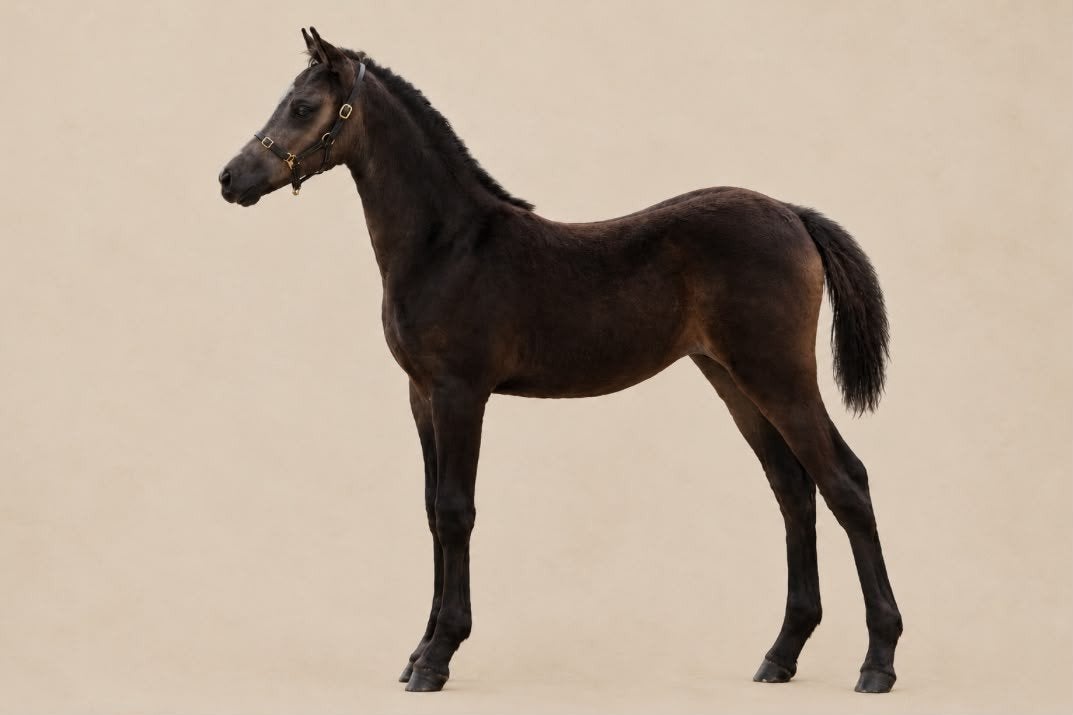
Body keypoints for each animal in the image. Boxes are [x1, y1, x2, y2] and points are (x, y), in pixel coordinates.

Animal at [219, 27, 902, 694]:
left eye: (302, 107)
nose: (229, 178)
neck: (448, 245)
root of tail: (793, 214)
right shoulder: (420, 395)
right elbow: (432, 511)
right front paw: (417, 652)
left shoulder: (461, 391)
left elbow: (455, 510)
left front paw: (439, 656)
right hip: (733, 379)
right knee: (793, 489)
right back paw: (781, 655)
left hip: (779, 375)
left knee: (846, 482)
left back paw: (878, 661)